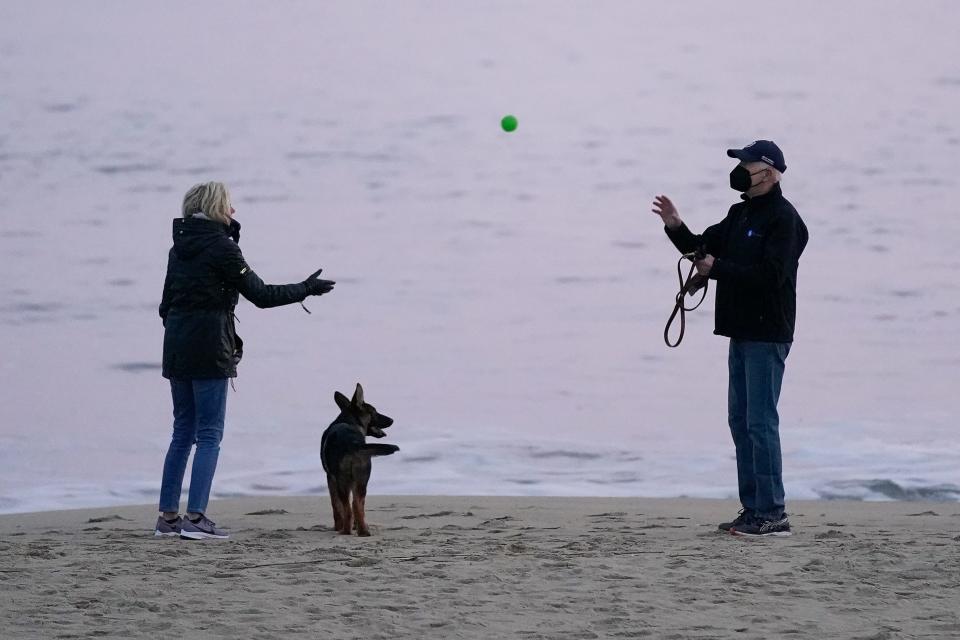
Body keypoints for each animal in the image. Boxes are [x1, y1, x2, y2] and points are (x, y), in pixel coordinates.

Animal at [320, 384, 400, 536]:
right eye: (375, 412)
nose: (392, 420)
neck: (348, 420)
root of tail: (353, 444)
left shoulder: (331, 479)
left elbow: (336, 506)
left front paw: (338, 526)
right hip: (362, 481)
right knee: (357, 505)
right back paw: (363, 531)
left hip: (343, 482)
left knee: (349, 507)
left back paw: (345, 530)